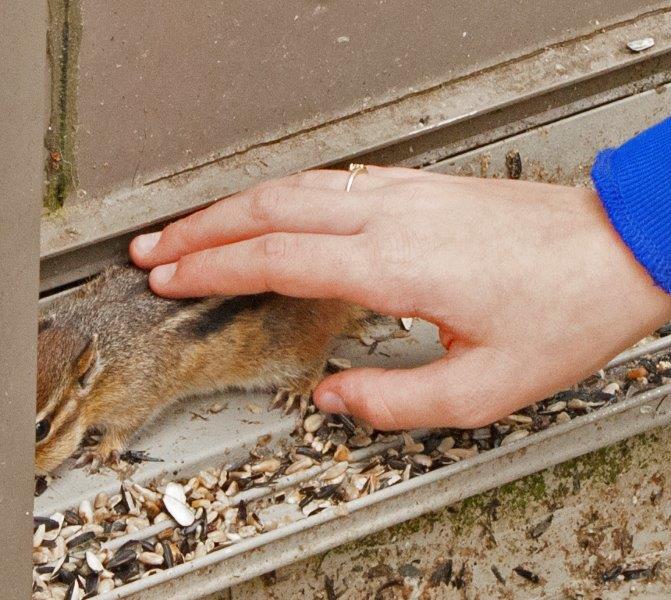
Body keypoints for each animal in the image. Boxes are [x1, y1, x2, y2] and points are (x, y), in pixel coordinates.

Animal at [36, 264, 372, 474]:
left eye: (41, 429)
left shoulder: (137, 393)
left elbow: (127, 427)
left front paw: (101, 450)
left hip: (288, 353)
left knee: (315, 362)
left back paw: (297, 389)